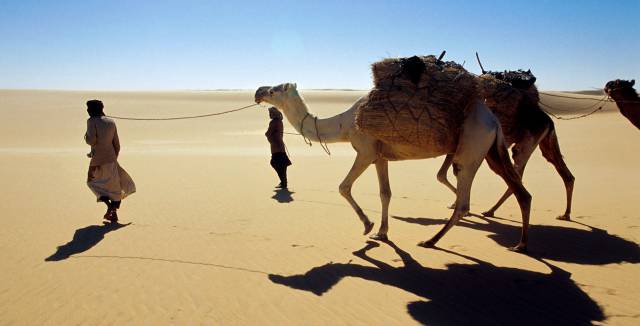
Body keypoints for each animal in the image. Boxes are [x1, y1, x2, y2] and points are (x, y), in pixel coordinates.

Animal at [252, 80, 532, 251]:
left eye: (274, 90)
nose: (258, 91)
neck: (344, 124)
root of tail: (493, 119)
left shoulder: (365, 151)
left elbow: (343, 187)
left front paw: (368, 226)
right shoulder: (381, 157)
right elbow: (385, 193)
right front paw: (382, 232)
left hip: (471, 148)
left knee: (464, 202)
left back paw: (431, 240)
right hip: (492, 150)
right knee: (522, 192)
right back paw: (521, 244)